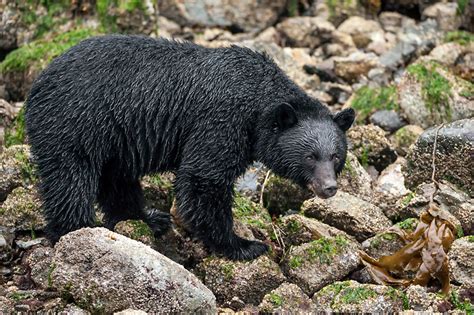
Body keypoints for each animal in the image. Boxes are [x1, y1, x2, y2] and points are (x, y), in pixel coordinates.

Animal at [25, 35, 352, 260]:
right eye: (310, 156)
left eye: (336, 156)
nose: (329, 188)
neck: (259, 101)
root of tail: (39, 80)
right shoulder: (222, 121)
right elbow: (203, 178)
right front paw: (242, 245)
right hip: (76, 122)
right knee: (71, 177)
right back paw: (78, 230)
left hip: (115, 139)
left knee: (117, 179)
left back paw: (148, 218)